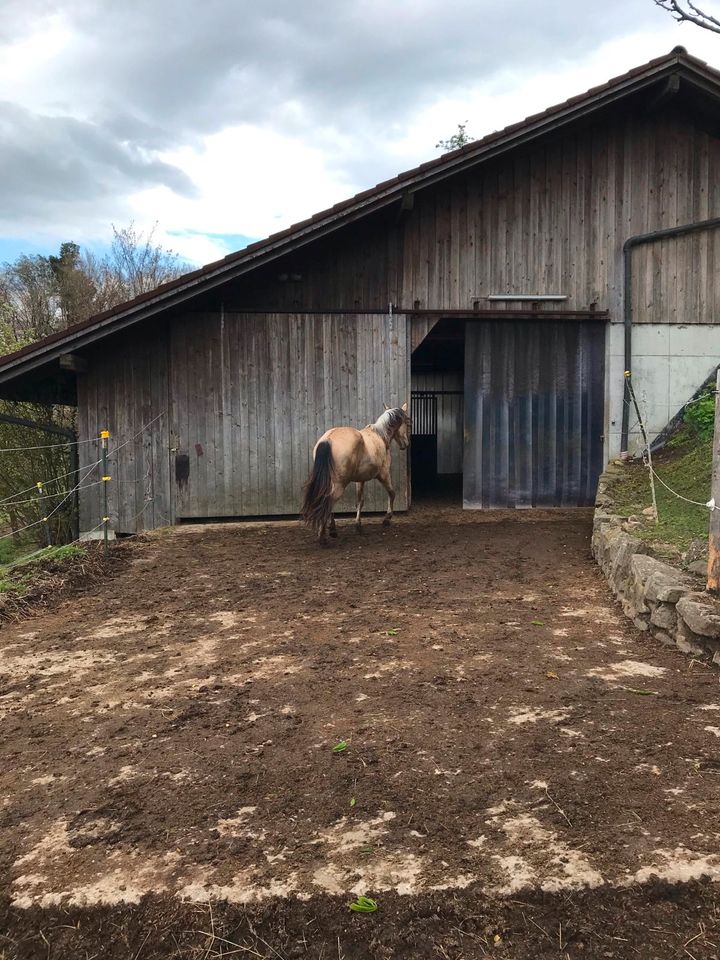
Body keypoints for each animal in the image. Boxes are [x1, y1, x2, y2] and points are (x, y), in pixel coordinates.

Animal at [300, 402, 410, 544]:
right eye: (407, 423)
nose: (405, 444)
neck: (379, 436)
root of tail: (328, 439)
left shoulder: (360, 480)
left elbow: (360, 501)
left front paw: (358, 525)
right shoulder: (384, 474)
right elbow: (392, 493)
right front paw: (387, 519)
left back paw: (332, 529)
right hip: (340, 484)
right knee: (328, 501)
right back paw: (323, 536)